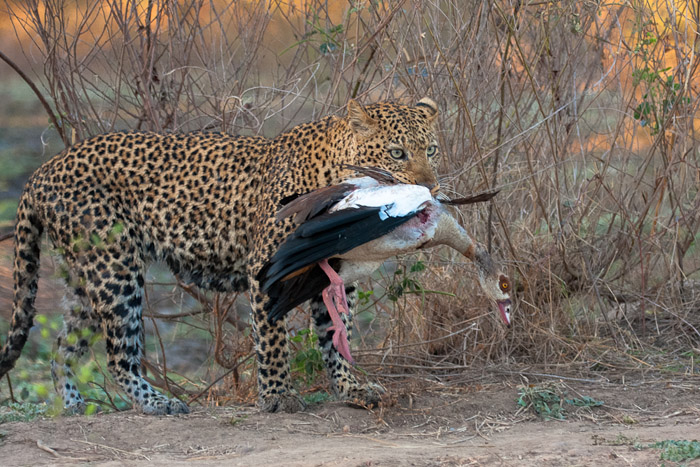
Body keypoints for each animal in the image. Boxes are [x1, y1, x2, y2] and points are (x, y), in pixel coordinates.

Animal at [0, 97, 442, 414]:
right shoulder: (266, 267)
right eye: (397, 153)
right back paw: (158, 403)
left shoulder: (331, 271)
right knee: (118, 356)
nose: (430, 186)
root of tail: (41, 171)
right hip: (115, 268)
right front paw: (278, 396)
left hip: (85, 276)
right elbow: (273, 337)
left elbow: (337, 333)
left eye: (432, 150)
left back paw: (71, 405)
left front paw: (350, 389)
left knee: (62, 345)